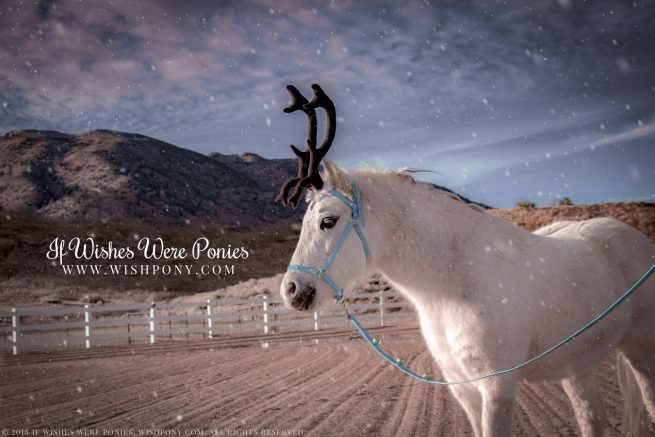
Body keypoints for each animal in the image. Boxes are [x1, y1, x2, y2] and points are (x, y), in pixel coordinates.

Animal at [275, 83, 655, 436]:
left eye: (328, 221)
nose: (291, 290)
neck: (454, 279)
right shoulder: (464, 390)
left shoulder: (497, 386)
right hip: (576, 367)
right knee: (592, 416)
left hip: (641, 350)